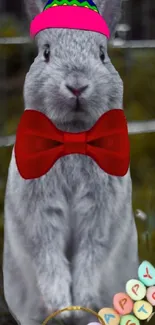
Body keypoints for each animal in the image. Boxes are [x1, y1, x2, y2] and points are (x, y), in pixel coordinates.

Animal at [2, 0, 139, 324]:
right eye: (46, 53)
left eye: (101, 54)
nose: (77, 85)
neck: (73, 135)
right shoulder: (40, 216)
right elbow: (49, 256)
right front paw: (62, 307)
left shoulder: (100, 216)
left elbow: (91, 254)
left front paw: (81, 303)